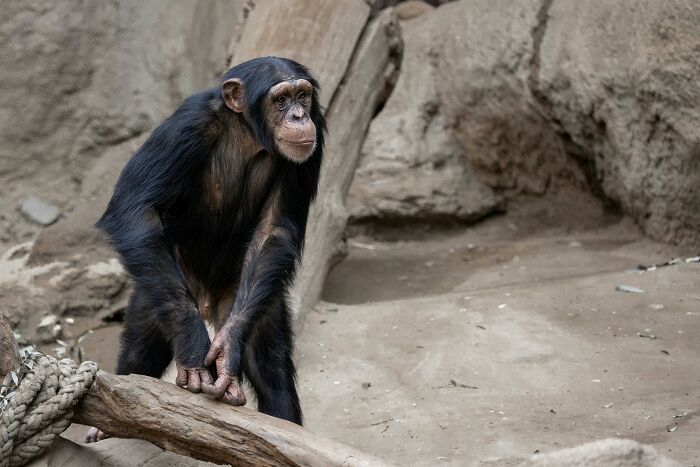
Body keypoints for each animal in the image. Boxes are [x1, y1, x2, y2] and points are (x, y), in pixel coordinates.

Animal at [87, 57, 326, 442]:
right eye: (280, 99)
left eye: (302, 96)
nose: (298, 116)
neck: (247, 134)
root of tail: (209, 304)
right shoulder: (186, 124)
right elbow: (135, 208)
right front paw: (193, 347)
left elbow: (273, 230)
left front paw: (226, 350)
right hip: (162, 282)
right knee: (141, 349)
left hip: (248, 297)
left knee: (271, 366)